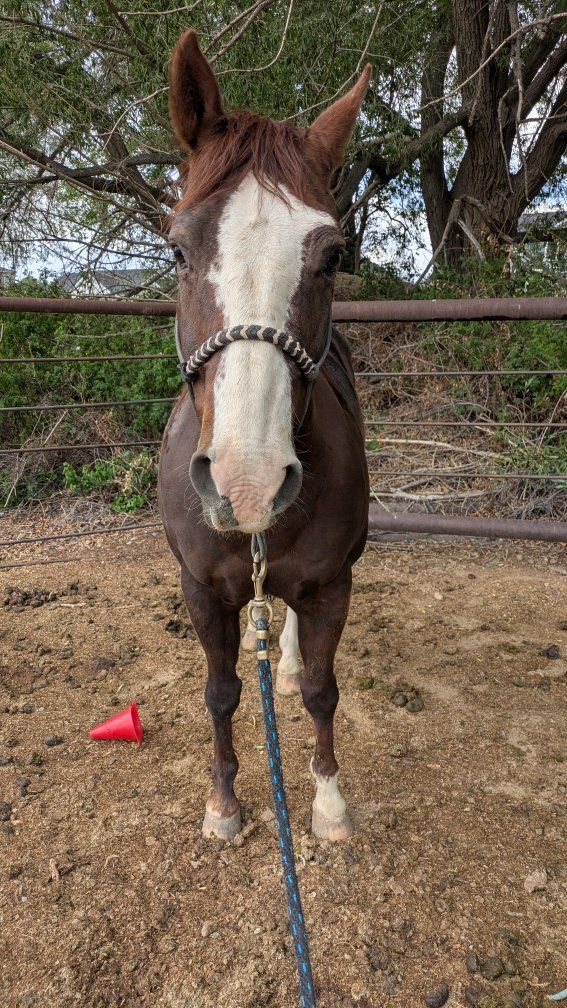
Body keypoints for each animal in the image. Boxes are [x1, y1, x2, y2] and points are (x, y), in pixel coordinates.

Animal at [159, 29, 371, 844]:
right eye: (178, 250)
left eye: (332, 256)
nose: (245, 482)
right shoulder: (200, 590)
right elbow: (220, 693)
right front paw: (223, 805)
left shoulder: (332, 586)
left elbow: (321, 691)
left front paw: (330, 805)